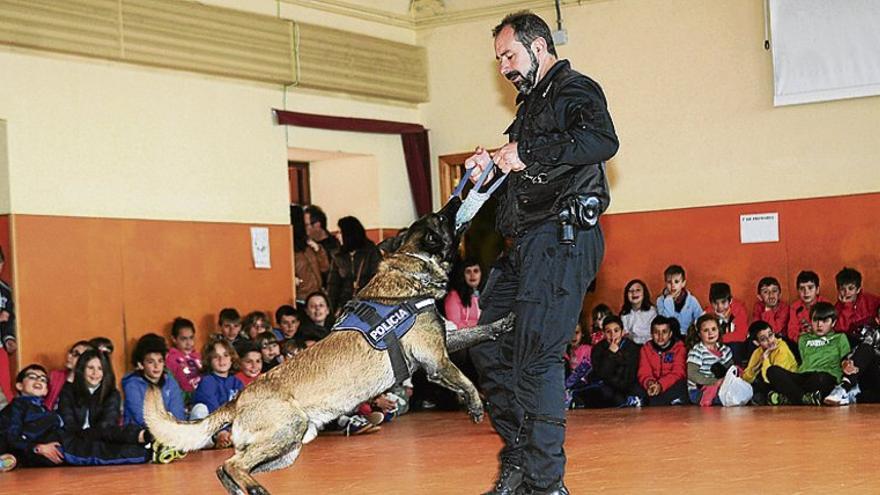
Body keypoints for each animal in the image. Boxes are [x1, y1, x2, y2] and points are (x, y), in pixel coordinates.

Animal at [146, 198, 508, 495]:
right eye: (442, 217)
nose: (457, 199)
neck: (410, 273)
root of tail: (238, 400)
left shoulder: (444, 343)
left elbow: (476, 332)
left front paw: (503, 324)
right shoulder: (437, 361)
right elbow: (466, 380)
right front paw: (476, 405)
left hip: (289, 447)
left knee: (229, 466)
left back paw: (246, 488)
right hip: (287, 430)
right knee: (230, 464)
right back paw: (252, 487)